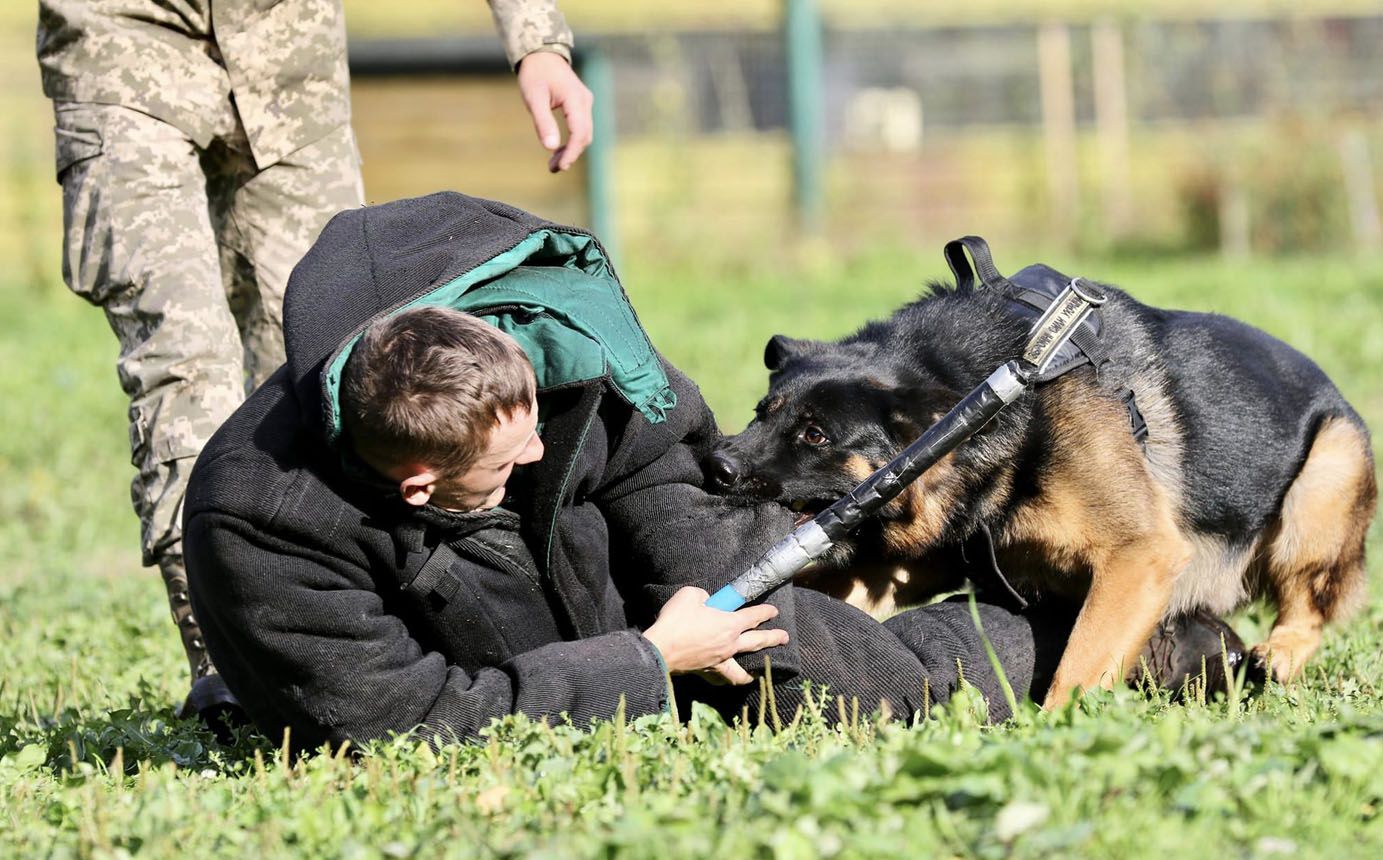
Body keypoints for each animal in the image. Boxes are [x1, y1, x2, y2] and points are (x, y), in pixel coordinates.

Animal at [708, 262, 1377, 707]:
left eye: (816, 435)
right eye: (762, 412)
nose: (717, 465)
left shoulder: (1139, 556)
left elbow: (1078, 669)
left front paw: (1053, 739)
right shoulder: (898, 566)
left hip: (1323, 483)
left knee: (1309, 604)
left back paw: (1280, 652)